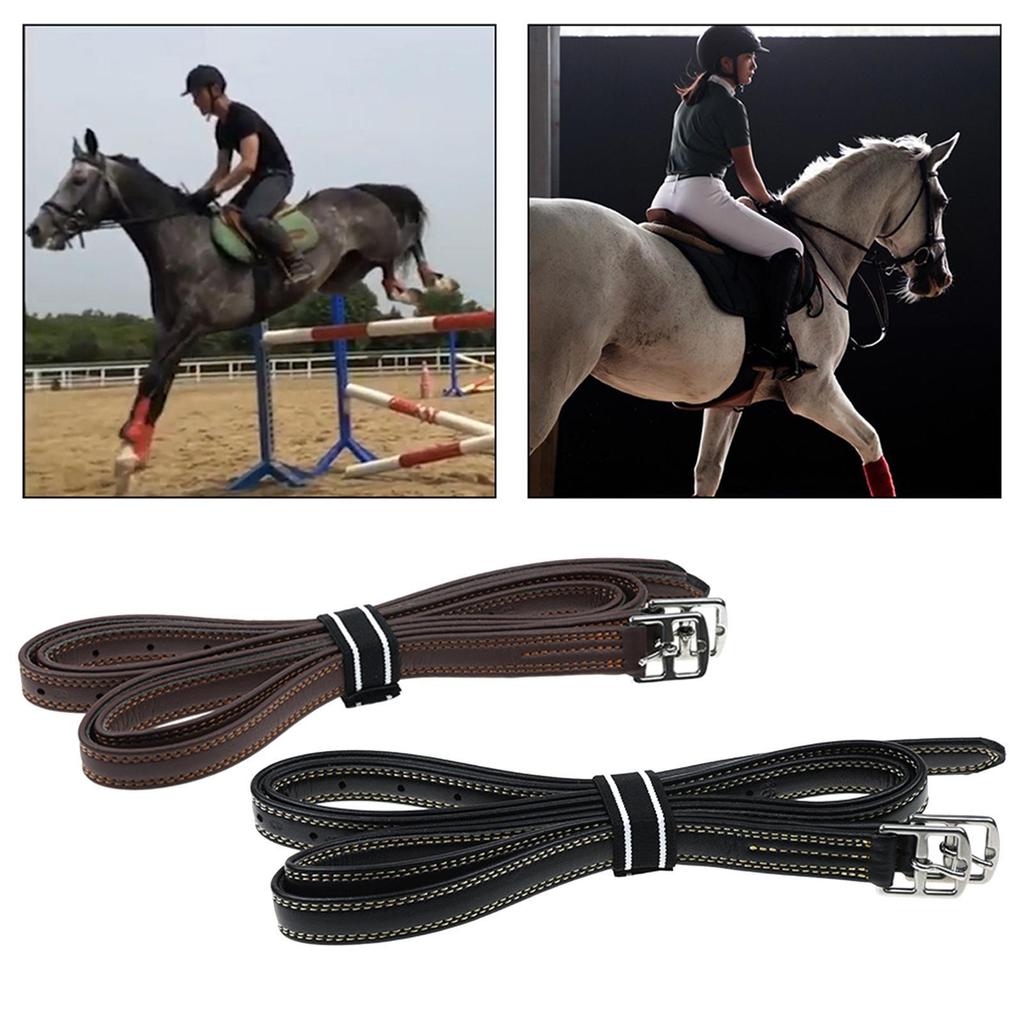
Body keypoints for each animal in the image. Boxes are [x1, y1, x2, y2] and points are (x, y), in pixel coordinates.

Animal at [25, 129, 457, 493]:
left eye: (78, 180)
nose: (37, 230)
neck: (180, 242)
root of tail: (359, 192)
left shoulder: (190, 327)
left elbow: (151, 379)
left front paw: (128, 453)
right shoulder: (171, 331)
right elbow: (157, 386)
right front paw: (133, 456)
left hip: (379, 241)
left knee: (408, 239)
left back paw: (435, 284)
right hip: (347, 270)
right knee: (387, 270)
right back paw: (405, 290)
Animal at [528, 134, 958, 497]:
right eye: (941, 202)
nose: (939, 277)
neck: (822, 248)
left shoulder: (727, 400)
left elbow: (708, 474)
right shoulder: (814, 391)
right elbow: (870, 442)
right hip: (548, 385)